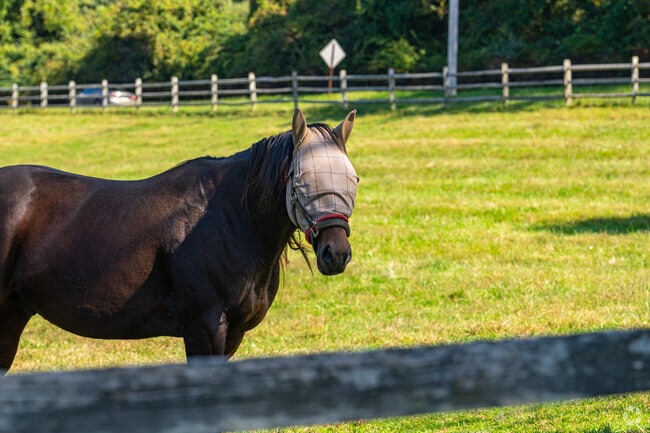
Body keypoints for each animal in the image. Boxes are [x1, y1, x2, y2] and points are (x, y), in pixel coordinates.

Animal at [0, 109, 359, 373]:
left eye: (353, 179)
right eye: (300, 183)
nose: (336, 254)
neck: (230, 218)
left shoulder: (232, 334)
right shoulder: (205, 328)